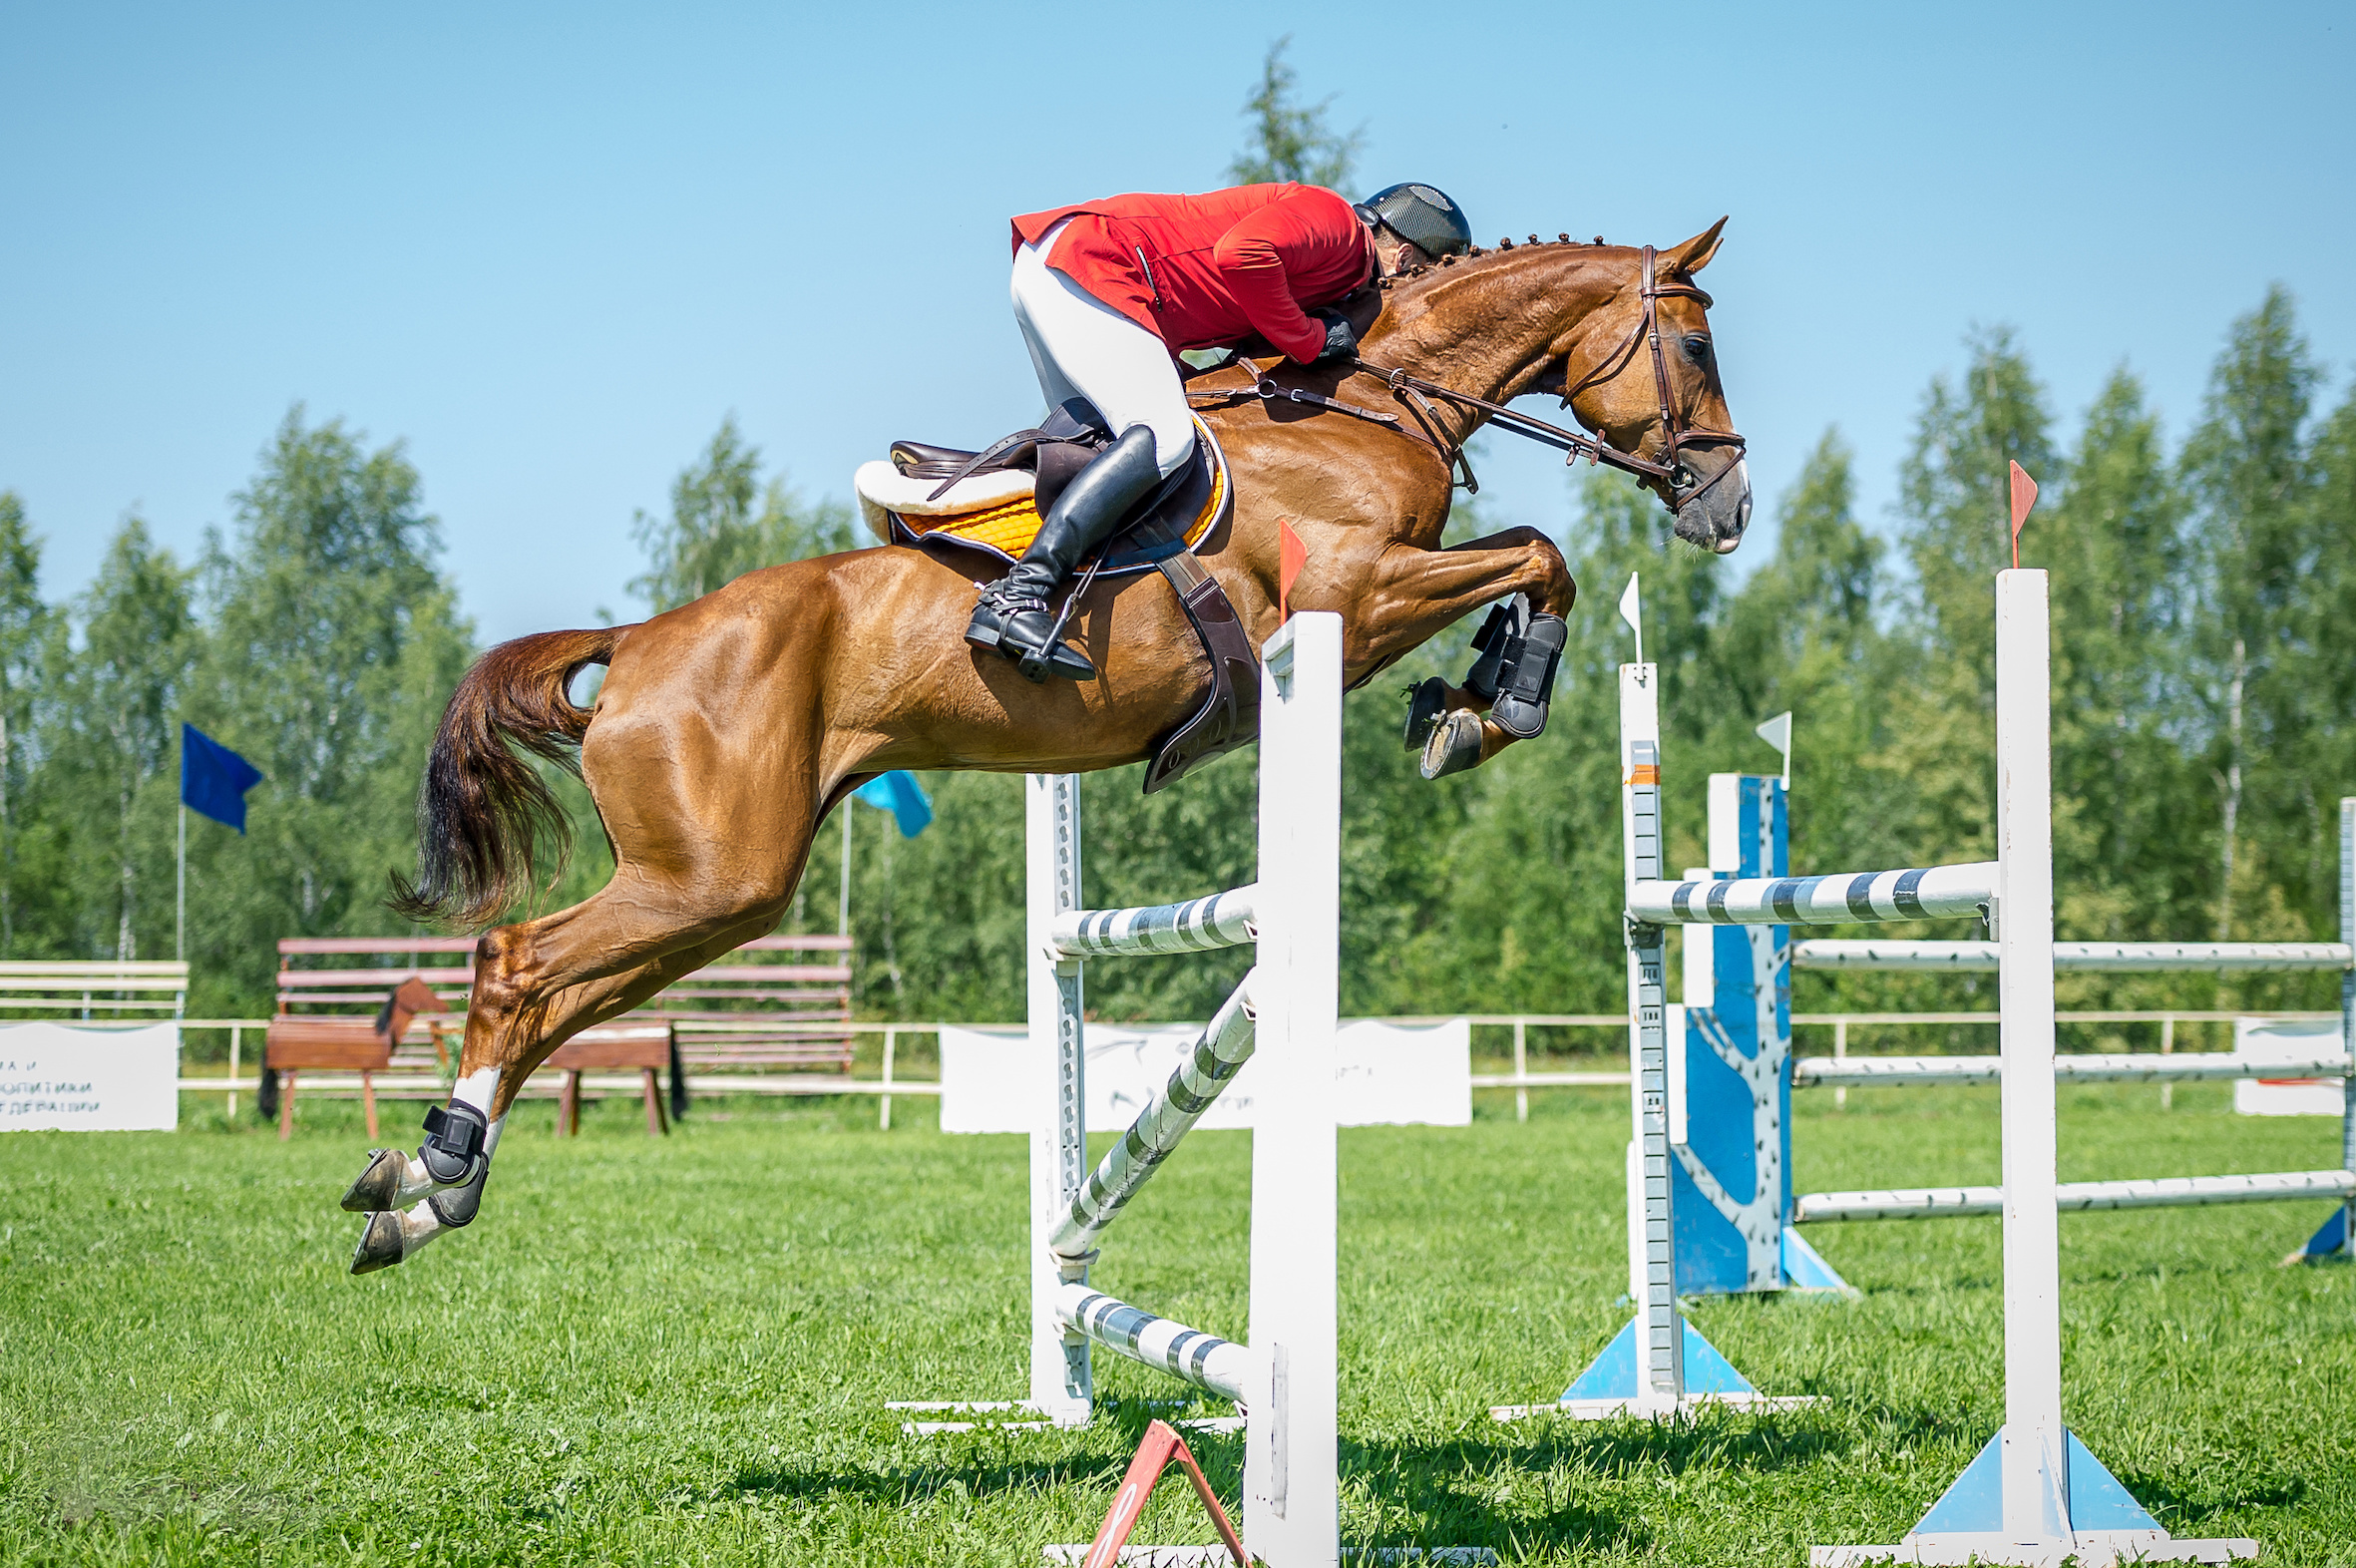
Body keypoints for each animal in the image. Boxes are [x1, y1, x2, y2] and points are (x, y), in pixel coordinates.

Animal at [339, 220, 1752, 1270]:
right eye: (1692, 340)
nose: (1728, 503)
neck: (1370, 405)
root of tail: (636, 643)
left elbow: (1528, 557)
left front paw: (1465, 699)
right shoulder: (1353, 593)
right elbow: (1540, 554)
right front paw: (1489, 707)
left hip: (716, 892)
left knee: (560, 995)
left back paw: (423, 1192)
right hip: (713, 875)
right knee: (521, 966)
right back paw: (440, 1167)